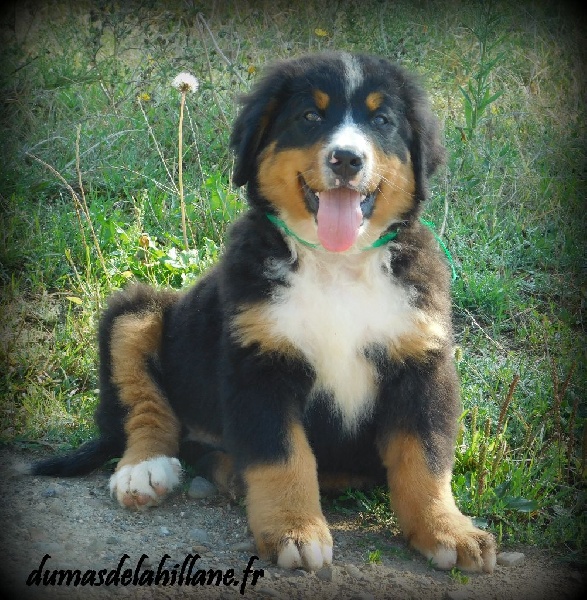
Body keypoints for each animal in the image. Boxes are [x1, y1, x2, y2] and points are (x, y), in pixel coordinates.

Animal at [32, 52, 496, 573]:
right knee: (143, 408)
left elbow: (426, 458)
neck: (336, 265)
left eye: (382, 121)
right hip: (136, 312)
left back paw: (227, 470)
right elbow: (283, 457)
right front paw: (294, 530)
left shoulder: (421, 359)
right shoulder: (259, 362)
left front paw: (448, 531)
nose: (347, 158)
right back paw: (144, 470)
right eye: (310, 116)